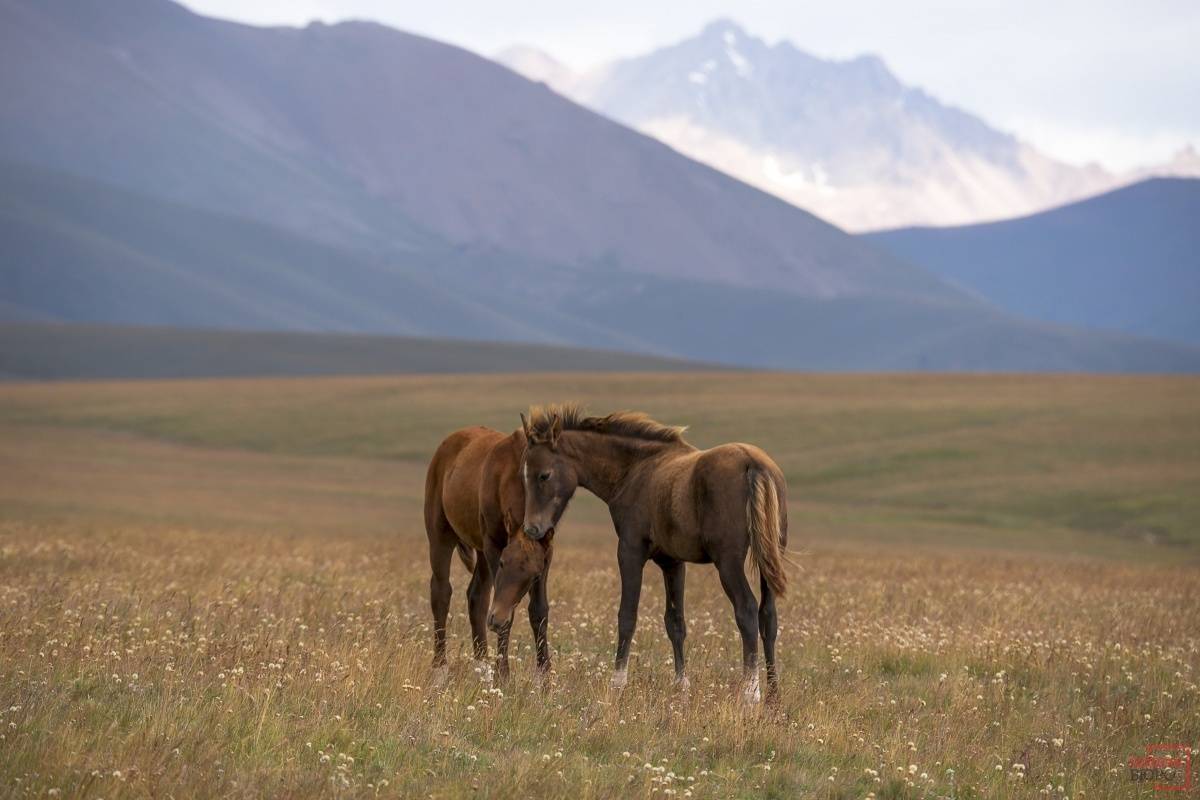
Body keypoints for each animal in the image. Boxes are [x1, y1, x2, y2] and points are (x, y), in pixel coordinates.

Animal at [422, 429, 552, 681]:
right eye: (502, 563)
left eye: (533, 576)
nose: (496, 621)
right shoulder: (494, 545)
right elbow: (508, 612)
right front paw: (503, 674)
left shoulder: (546, 554)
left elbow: (539, 611)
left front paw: (545, 677)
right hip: (441, 536)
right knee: (441, 591)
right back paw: (440, 666)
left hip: (480, 551)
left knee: (477, 597)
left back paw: (481, 664)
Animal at [487, 407, 787, 700]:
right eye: (523, 476)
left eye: (544, 475)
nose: (532, 529)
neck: (634, 471)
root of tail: (754, 463)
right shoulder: (672, 562)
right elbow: (675, 622)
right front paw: (681, 686)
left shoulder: (629, 552)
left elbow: (627, 616)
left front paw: (618, 683)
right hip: (769, 558)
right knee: (767, 616)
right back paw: (772, 695)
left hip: (728, 562)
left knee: (746, 610)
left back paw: (751, 693)